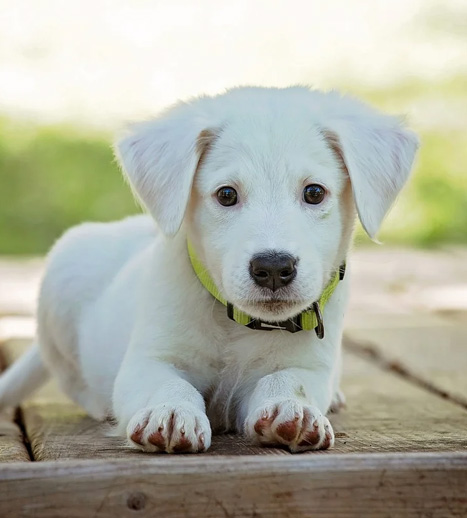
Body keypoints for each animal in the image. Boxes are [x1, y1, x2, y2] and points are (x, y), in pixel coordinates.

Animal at [0, 88, 418, 456]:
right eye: (226, 195)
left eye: (314, 193)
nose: (273, 268)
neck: (237, 324)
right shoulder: (149, 360)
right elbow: (169, 384)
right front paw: (171, 412)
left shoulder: (309, 366)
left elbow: (287, 379)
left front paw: (292, 409)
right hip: (62, 277)